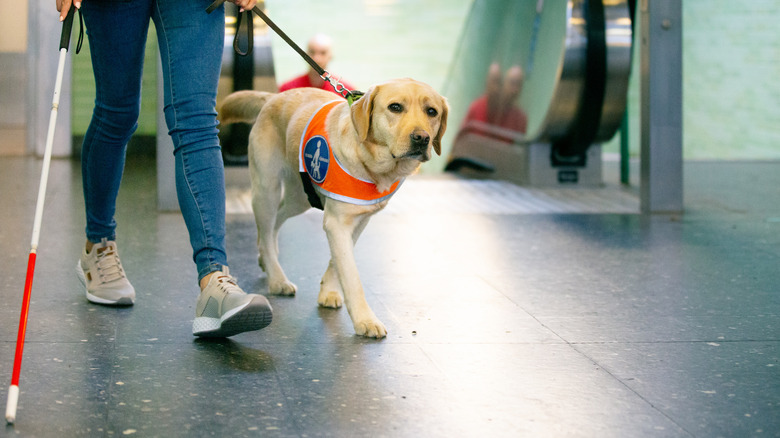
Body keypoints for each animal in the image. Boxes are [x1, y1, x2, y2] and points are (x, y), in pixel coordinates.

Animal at [219, 79, 448, 338]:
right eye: (395, 107)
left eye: (432, 112)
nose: (422, 138)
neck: (372, 163)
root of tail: (272, 98)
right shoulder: (337, 223)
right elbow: (351, 276)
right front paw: (365, 319)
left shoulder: (358, 220)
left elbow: (337, 262)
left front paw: (328, 291)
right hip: (266, 189)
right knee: (266, 230)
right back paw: (277, 278)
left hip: (300, 198)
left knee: (274, 223)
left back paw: (266, 261)